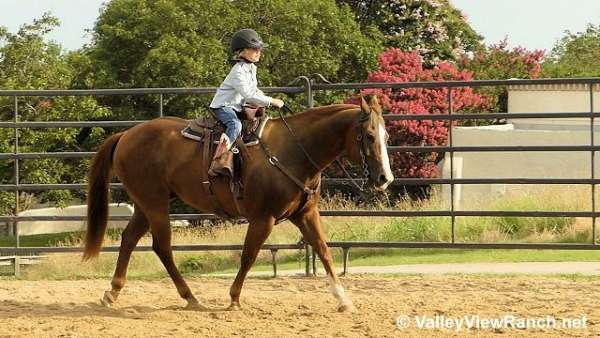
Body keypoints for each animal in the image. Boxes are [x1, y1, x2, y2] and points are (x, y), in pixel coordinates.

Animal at [83, 95, 394, 312]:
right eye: (368, 136)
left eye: (386, 135)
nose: (384, 178)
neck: (293, 151)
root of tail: (125, 135)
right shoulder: (263, 218)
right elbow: (249, 255)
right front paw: (234, 299)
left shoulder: (306, 214)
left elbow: (324, 252)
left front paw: (344, 300)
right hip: (155, 203)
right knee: (162, 247)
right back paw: (190, 296)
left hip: (146, 203)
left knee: (129, 238)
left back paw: (113, 292)